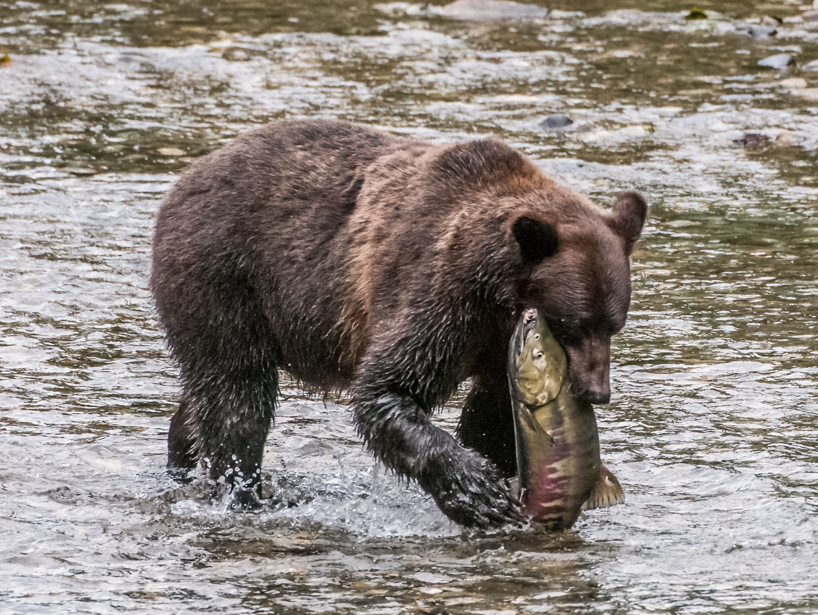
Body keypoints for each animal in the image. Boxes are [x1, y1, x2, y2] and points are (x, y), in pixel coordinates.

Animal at [151, 119, 646, 528]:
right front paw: (477, 492)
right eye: (572, 323)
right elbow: (388, 387)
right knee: (238, 394)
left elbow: (492, 413)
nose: (596, 391)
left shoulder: (494, 340)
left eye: (613, 325)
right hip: (225, 276)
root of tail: (186, 178)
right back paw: (244, 491)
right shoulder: (442, 292)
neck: (498, 290)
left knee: (208, 395)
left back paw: (183, 460)